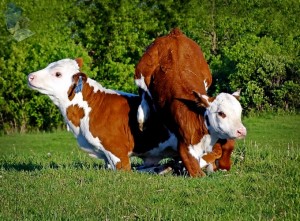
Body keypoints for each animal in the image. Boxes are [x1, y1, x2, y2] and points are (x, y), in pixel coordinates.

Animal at [135, 28, 246, 176]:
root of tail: (175, 34)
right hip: (140, 72)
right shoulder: (186, 147)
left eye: (240, 112)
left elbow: (223, 149)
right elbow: (198, 172)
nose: (242, 131)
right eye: (221, 113)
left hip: (207, 77)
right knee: (143, 95)